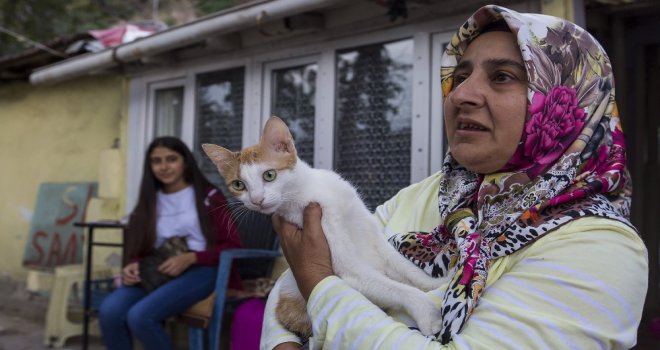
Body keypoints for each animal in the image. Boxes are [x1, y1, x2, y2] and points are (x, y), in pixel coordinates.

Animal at [201, 117, 444, 336]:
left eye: (269, 175)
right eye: (238, 185)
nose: (256, 200)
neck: (310, 191)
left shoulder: (371, 233)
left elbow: (406, 268)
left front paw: (436, 283)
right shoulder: (349, 271)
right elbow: (395, 288)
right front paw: (427, 311)